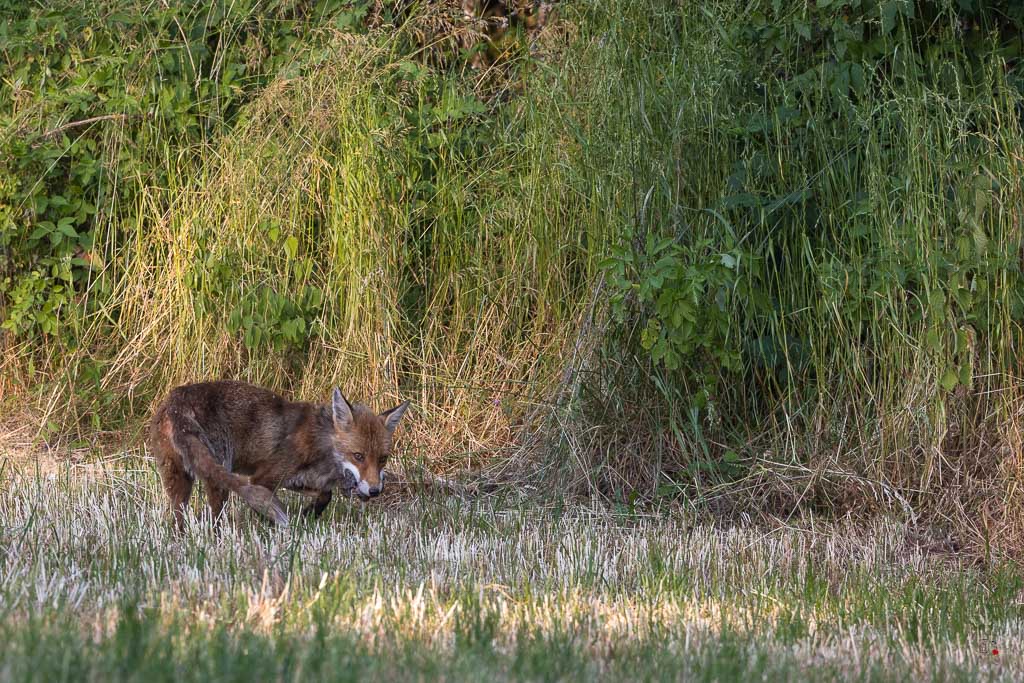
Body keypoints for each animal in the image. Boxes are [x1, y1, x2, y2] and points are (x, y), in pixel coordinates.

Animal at [147, 380, 409, 531]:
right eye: (358, 456)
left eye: (383, 459)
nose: (375, 491)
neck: (322, 445)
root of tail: (176, 400)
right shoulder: (263, 478)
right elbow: (264, 506)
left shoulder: (298, 480)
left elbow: (325, 495)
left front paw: (308, 515)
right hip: (218, 476)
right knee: (215, 517)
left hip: (178, 479)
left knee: (178, 517)